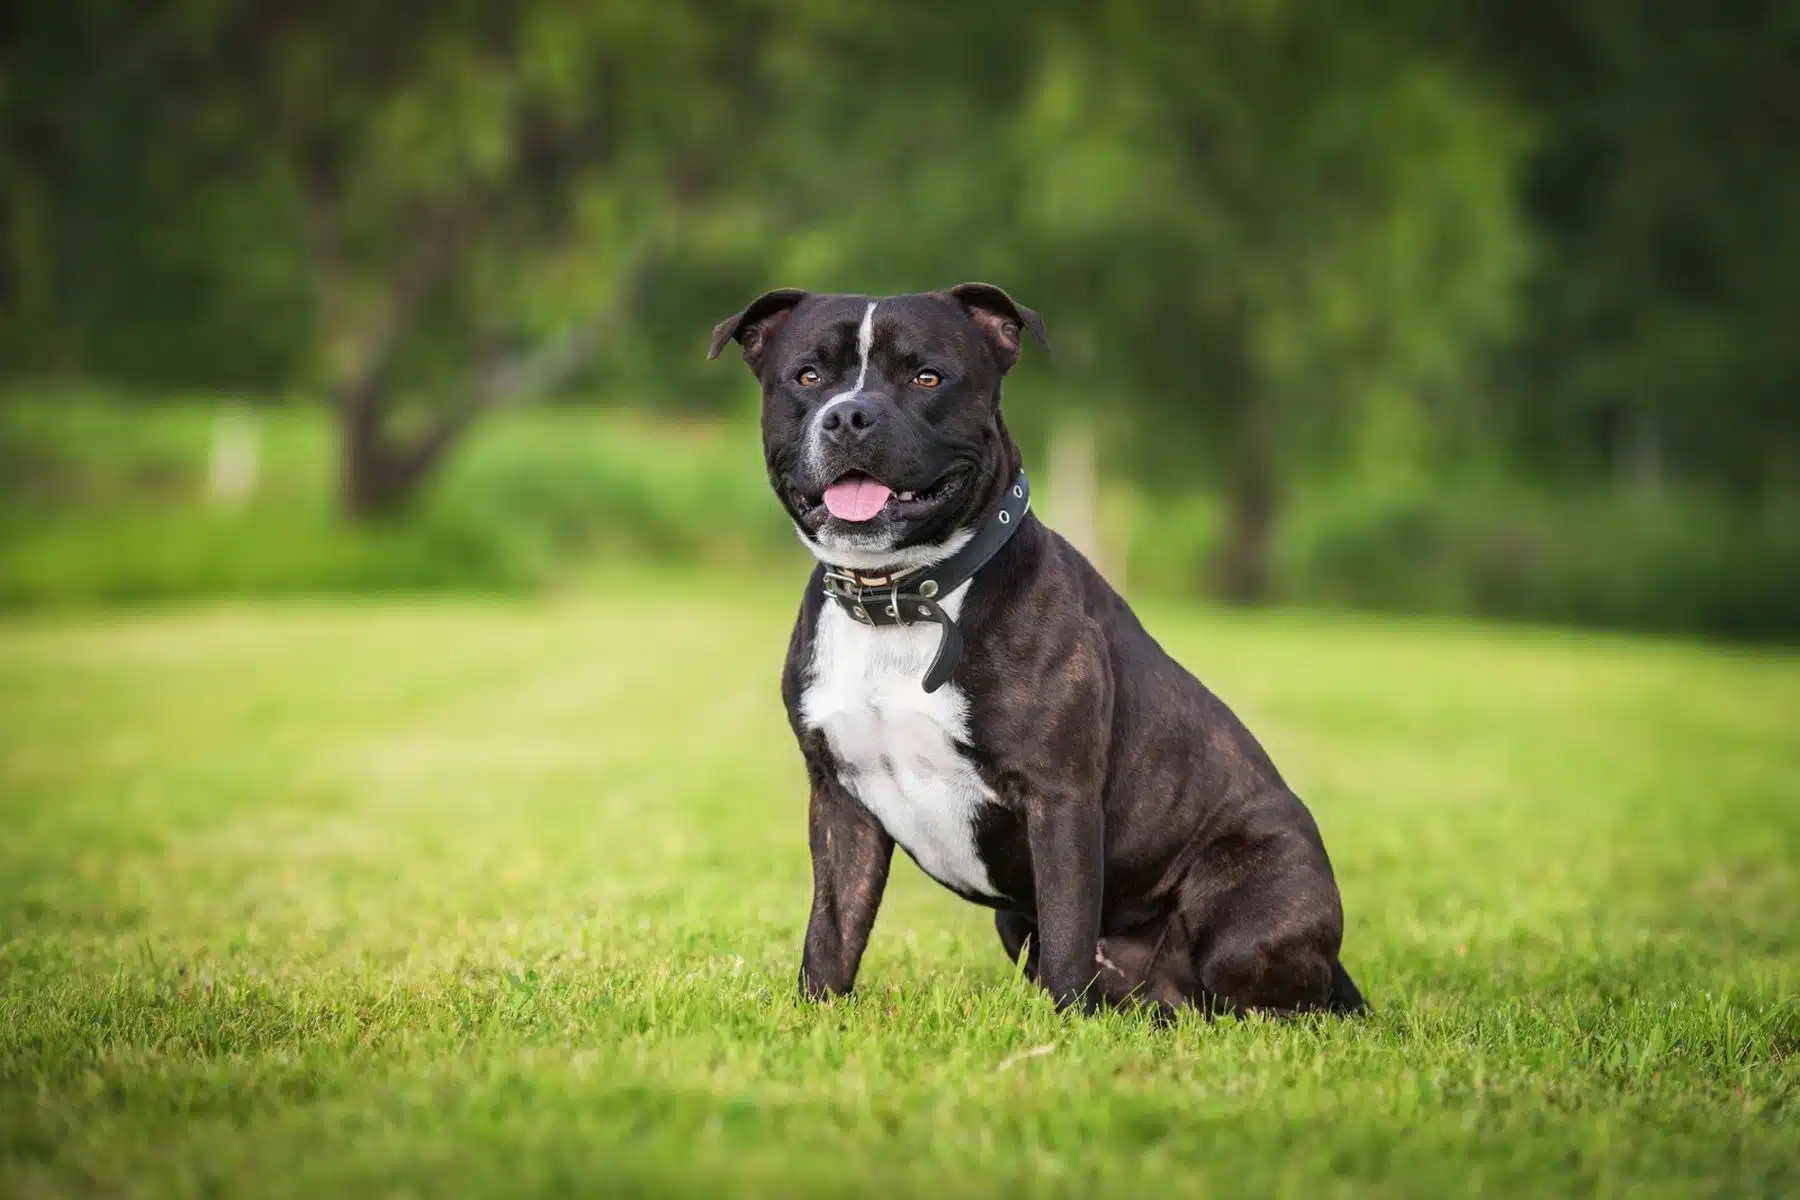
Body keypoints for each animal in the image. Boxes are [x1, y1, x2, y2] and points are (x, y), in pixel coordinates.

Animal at [709, 286, 1353, 1021]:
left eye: (927, 377)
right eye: (809, 376)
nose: (849, 415)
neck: (902, 596)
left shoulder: (1060, 797)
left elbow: (1070, 930)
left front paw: (1066, 1027)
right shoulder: (840, 799)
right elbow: (832, 931)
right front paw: (819, 1014)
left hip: (1252, 915)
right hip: (1022, 924)